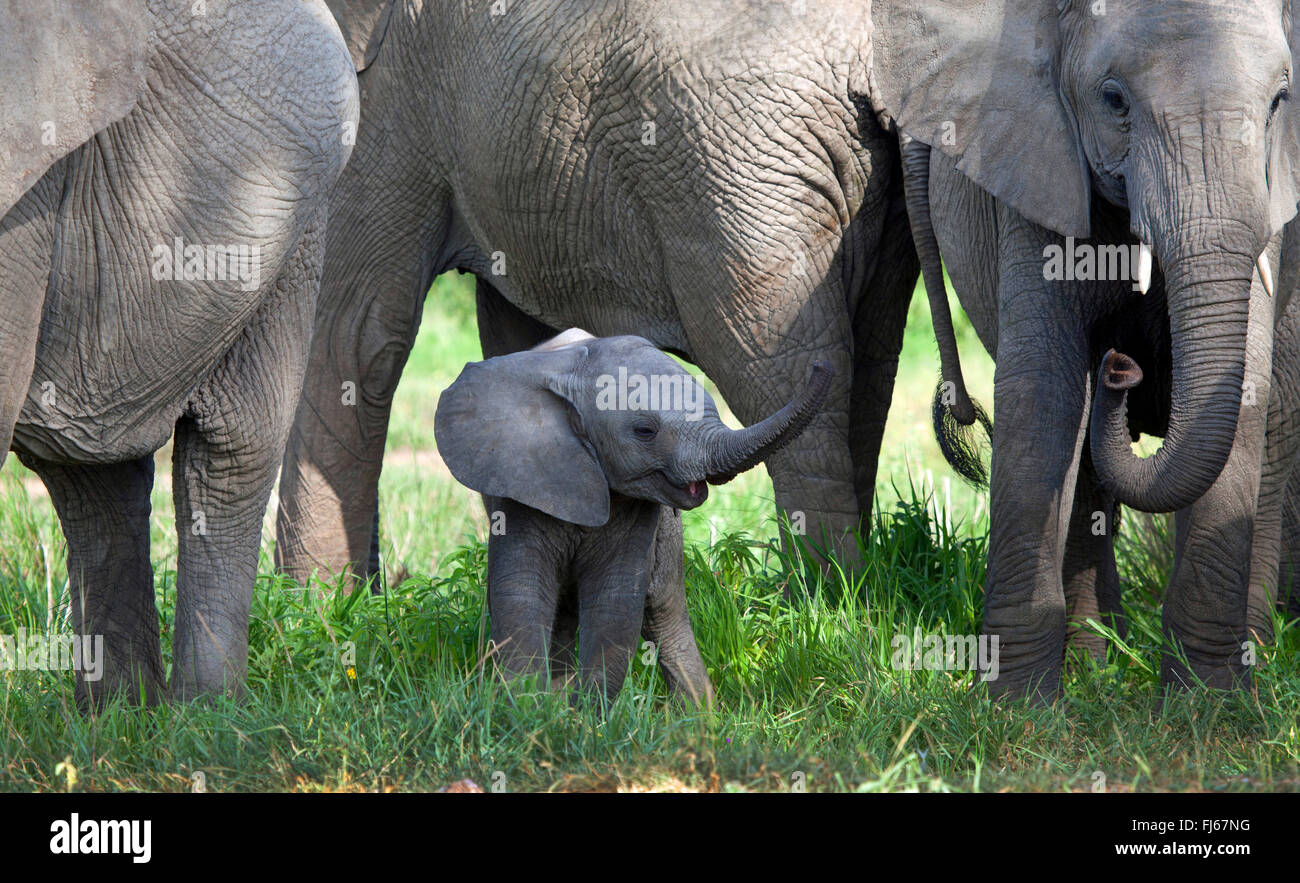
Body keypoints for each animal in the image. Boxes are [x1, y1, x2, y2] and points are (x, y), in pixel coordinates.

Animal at [275, 0, 925, 587]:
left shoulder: (392, 91)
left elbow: (358, 337)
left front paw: (318, 611)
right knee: (864, 375)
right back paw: (851, 594)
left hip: (742, 177)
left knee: (778, 374)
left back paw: (820, 599)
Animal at [431, 331, 826, 702]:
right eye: (645, 431)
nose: (821, 365)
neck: (571, 368)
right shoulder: (521, 479)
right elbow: (520, 590)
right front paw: (528, 708)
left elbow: (615, 600)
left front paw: (585, 715)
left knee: (663, 611)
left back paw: (699, 719)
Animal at [873, 1, 1300, 702]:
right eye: (1113, 99)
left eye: (1279, 103)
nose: (1119, 367)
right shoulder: (1032, 154)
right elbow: (1043, 393)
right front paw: (1017, 706)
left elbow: (1248, 393)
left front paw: (1207, 705)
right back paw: (1093, 666)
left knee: (1278, 426)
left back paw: (1251, 656)